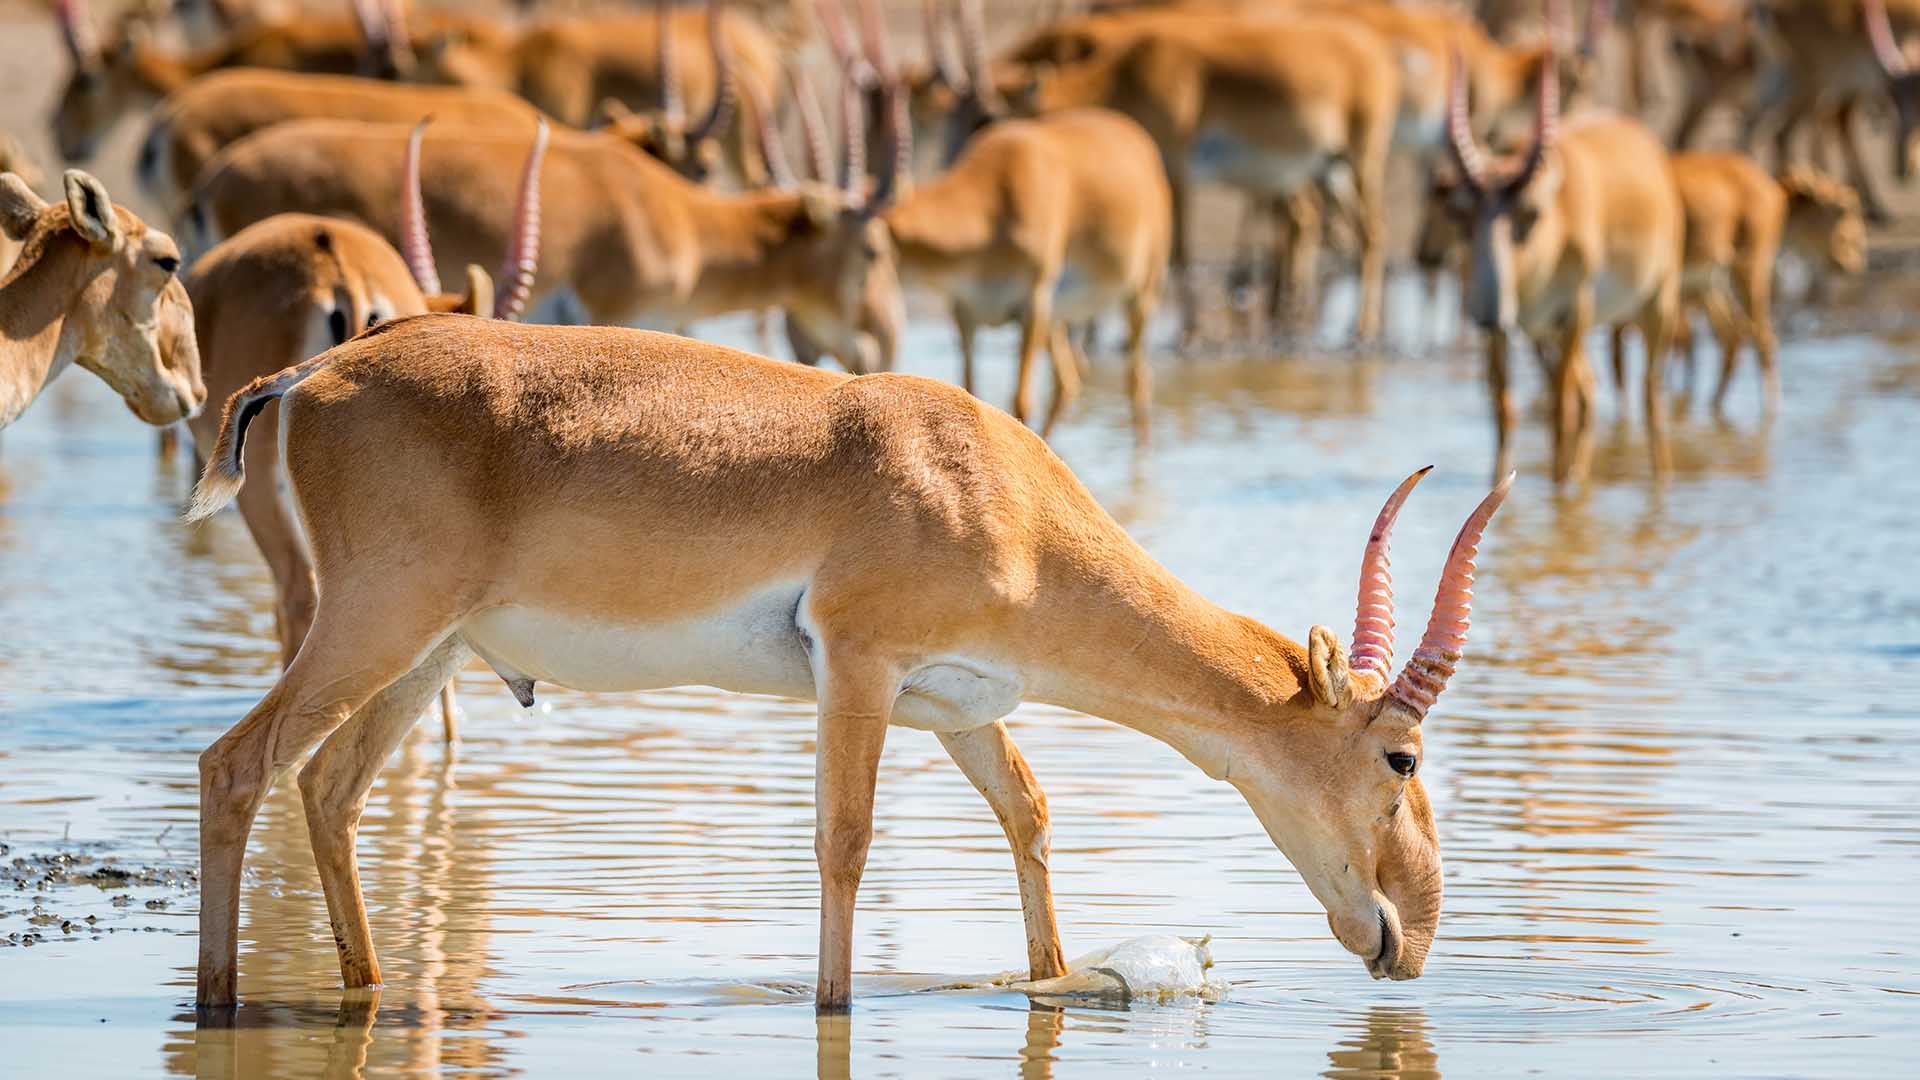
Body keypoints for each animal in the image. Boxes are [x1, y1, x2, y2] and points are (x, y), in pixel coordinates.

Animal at [187, 299, 1520, 999]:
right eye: (1401, 757)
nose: (1413, 934)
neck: (1006, 498)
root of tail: (307, 373)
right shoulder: (858, 669)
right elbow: (844, 843)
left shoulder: (965, 703)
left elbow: (1030, 814)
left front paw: (1059, 979)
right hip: (375, 626)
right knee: (235, 765)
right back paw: (219, 1002)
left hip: (427, 655)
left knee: (327, 788)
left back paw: (358, 990)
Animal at [1443, 53, 1681, 484]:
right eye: (1461, 217)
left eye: (1531, 215)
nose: (1488, 312)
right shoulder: (1506, 330)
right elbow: (1505, 409)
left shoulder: (1575, 312)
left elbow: (1557, 411)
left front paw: (1560, 485)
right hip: (1549, 333)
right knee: (1588, 390)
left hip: (1658, 303)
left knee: (1648, 395)